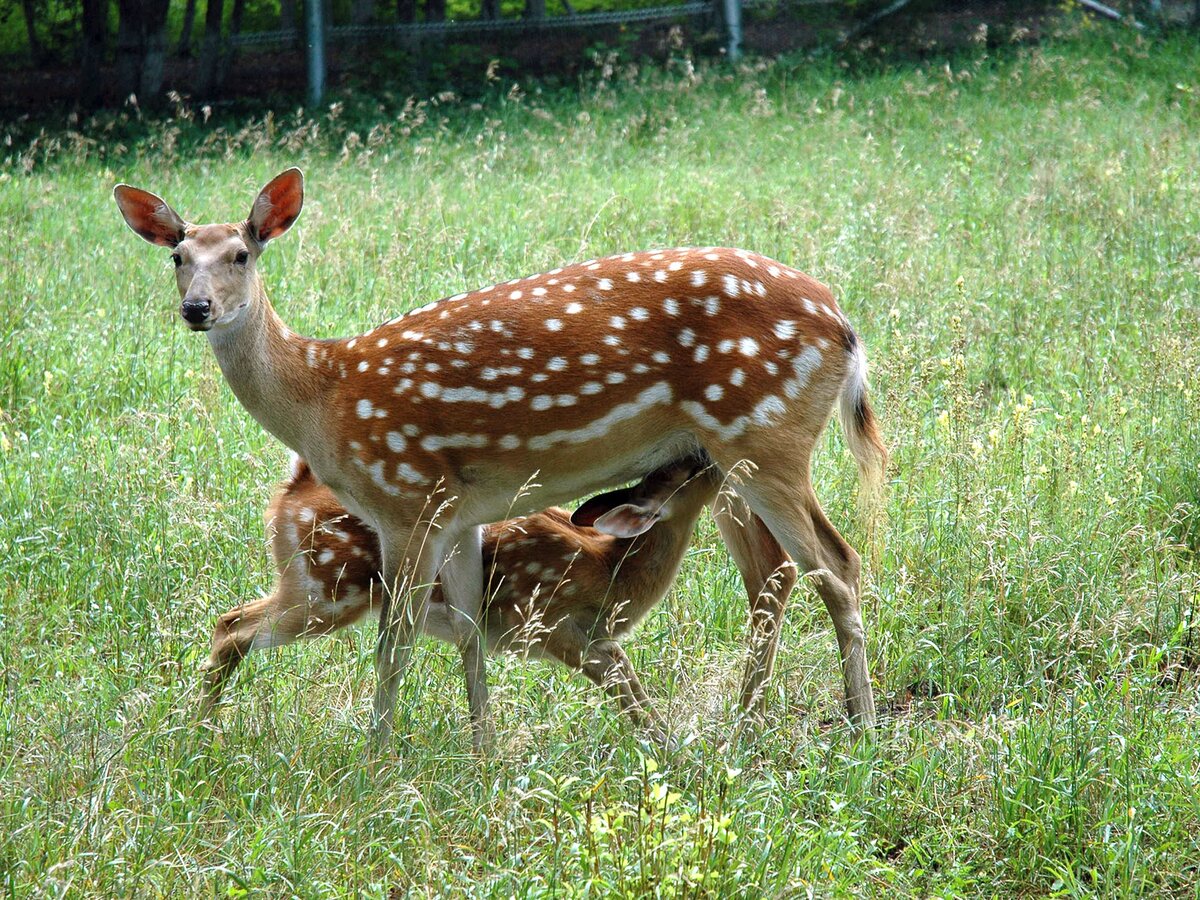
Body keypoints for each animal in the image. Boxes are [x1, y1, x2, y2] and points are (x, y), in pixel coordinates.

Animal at [201, 458, 734, 748]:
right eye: (688, 469)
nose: (714, 454)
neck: (611, 571)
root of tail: (294, 489)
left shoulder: (588, 632)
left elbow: (627, 673)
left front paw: (679, 744)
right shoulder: (544, 620)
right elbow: (621, 680)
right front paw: (675, 751)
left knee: (231, 623)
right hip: (327, 590)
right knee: (232, 626)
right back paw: (202, 730)